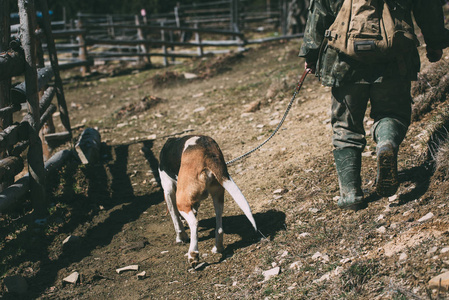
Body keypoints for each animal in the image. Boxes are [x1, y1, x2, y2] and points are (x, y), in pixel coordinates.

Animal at [158, 135, 258, 266]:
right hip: (218, 195)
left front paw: (181, 237)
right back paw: (218, 248)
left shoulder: (168, 190)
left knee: (194, 223)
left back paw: (193, 254)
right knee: (219, 227)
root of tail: (208, 152)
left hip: (181, 200)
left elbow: (175, 219)